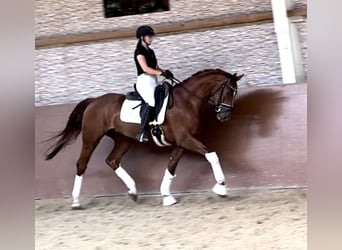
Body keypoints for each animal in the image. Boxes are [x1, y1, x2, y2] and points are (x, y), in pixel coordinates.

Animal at [44, 68, 243, 207]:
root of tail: (94, 101)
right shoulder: (186, 139)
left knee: (113, 160)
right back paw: (76, 201)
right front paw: (221, 187)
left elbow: (171, 166)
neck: (187, 102)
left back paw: (133, 191)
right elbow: (212, 155)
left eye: (234, 93)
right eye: (227, 92)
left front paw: (167, 196)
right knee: (82, 164)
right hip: (91, 137)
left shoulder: (182, 142)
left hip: (124, 139)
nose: (225, 116)